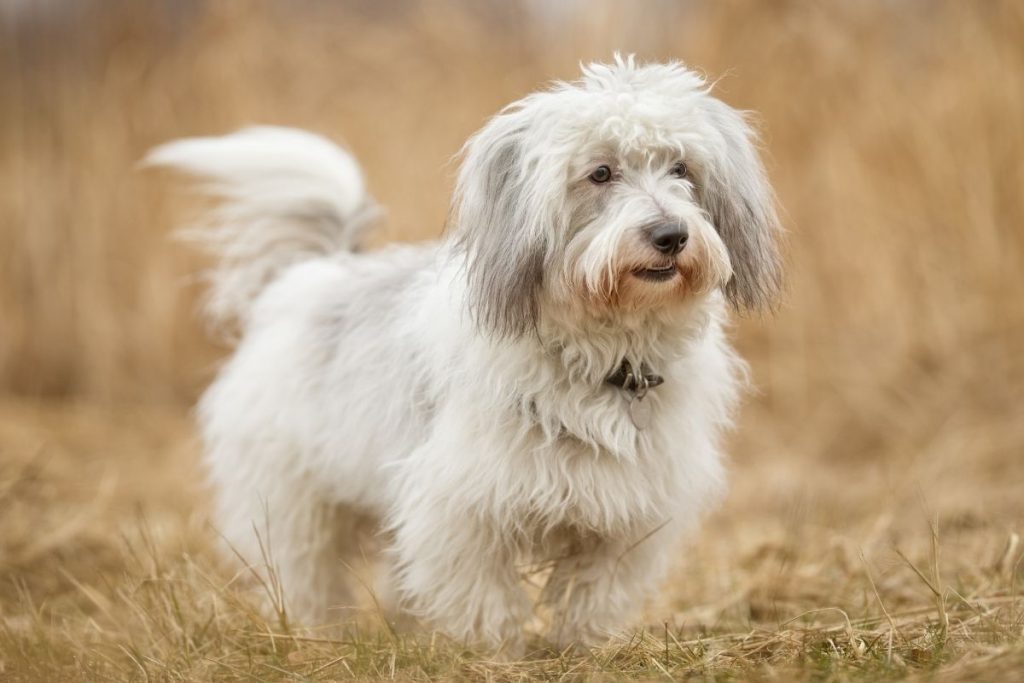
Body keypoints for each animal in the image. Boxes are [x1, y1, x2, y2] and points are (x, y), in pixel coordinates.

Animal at [146, 56, 782, 655]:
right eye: (600, 173)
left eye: (682, 169)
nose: (670, 235)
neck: (604, 355)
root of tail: (314, 270)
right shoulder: (461, 505)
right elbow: (484, 594)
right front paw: (497, 654)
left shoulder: (628, 512)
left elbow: (594, 590)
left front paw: (581, 647)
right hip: (291, 499)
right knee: (305, 570)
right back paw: (313, 633)